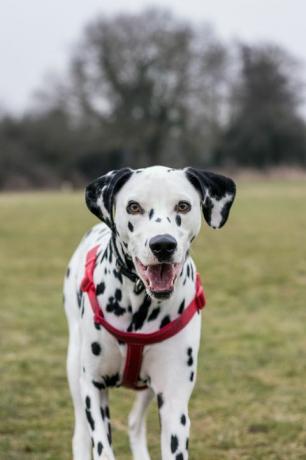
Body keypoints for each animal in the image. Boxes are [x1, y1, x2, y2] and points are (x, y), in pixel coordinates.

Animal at [64, 166, 237, 460]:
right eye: (134, 206)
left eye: (183, 205)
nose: (163, 244)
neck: (140, 303)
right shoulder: (94, 387)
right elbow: (102, 447)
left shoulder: (174, 399)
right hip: (75, 366)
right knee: (81, 436)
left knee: (134, 422)